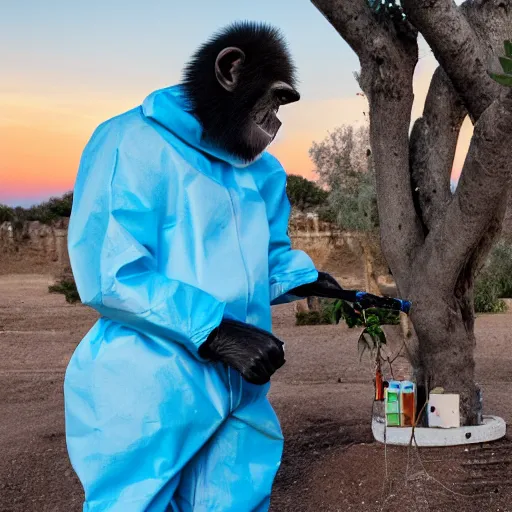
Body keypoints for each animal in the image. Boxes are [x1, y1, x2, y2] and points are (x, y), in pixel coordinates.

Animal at [66, 21, 356, 512]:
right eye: (277, 97)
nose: (276, 122)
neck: (211, 146)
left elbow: (274, 252)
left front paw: (321, 283)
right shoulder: (114, 151)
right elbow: (117, 271)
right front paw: (241, 342)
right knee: (131, 486)